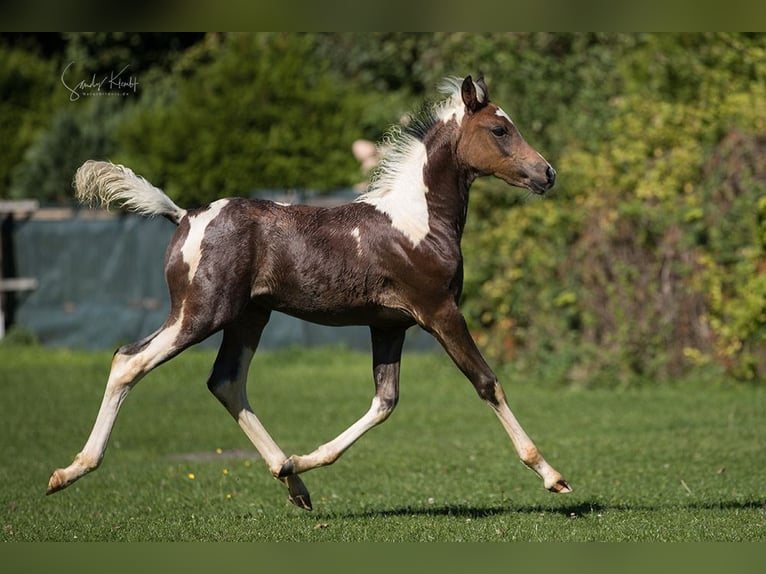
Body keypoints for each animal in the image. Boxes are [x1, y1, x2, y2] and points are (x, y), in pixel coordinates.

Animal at [47, 74, 571, 510]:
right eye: (500, 130)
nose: (547, 173)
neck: (417, 222)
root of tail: (184, 215)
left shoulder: (389, 324)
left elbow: (384, 401)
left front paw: (299, 461)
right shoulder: (440, 311)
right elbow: (486, 382)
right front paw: (552, 475)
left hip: (248, 318)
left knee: (226, 382)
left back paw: (292, 480)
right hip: (199, 314)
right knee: (129, 360)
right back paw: (70, 471)